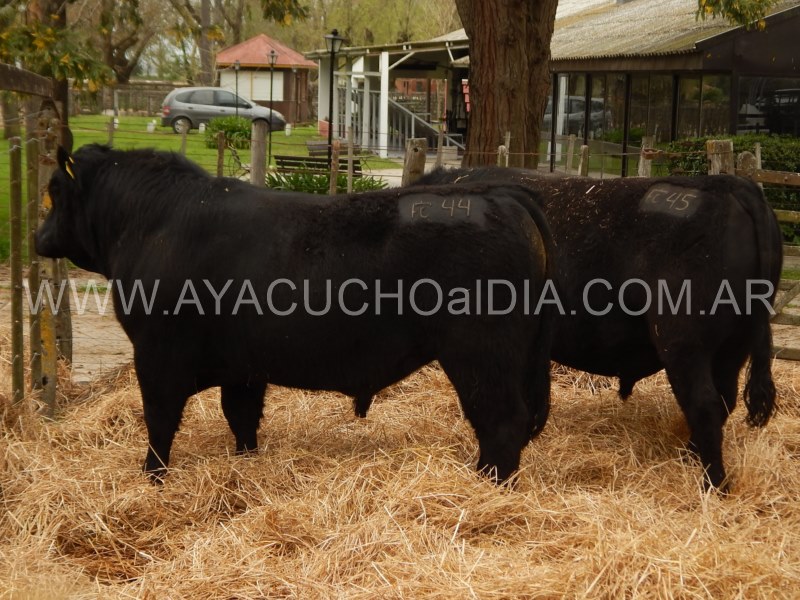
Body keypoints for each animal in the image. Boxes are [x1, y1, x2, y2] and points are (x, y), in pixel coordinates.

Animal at [35, 145, 556, 483]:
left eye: (53, 192)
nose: (38, 238)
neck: (155, 222)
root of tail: (501, 194)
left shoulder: (157, 355)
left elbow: (159, 422)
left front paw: (152, 479)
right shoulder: (242, 368)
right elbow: (241, 418)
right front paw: (245, 464)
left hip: (482, 354)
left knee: (502, 420)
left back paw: (486, 485)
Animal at [402, 166, 782, 491]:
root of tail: (727, 184)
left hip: (684, 343)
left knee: (704, 404)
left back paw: (712, 483)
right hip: (733, 347)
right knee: (723, 399)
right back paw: (689, 458)